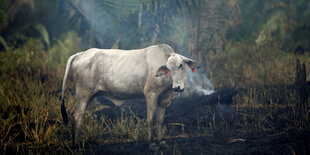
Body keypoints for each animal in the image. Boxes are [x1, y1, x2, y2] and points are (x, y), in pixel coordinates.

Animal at [61, 44, 199, 150]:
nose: (177, 87)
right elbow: (151, 119)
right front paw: (152, 144)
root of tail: (81, 53)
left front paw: (161, 142)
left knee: (73, 114)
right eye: (168, 69)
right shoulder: (151, 94)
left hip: (87, 97)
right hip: (83, 94)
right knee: (77, 116)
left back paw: (73, 142)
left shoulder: (162, 100)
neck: (169, 88)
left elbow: (159, 121)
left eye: (181, 65)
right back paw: (76, 145)